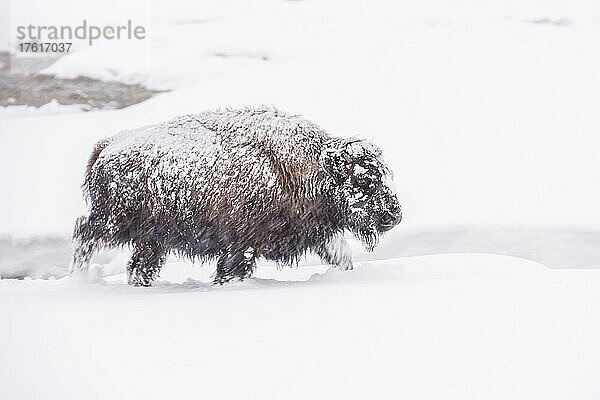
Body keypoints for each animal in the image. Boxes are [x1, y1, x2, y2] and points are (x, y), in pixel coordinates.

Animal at [74, 106, 404, 286]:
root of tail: (107, 145)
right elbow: (231, 269)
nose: (394, 215)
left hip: (152, 239)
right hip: (113, 223)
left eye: (381, 175)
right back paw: (80, 278)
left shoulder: (315, 234)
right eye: (363, 179)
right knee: (84, 236)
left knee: (139, 265)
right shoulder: (240, 246)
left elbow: (341, 254)